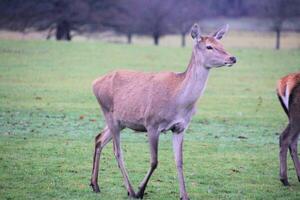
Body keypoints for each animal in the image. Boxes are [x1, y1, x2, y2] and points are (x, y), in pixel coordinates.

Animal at [89, 23, 237, 200]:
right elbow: (154, 161)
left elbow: (179, 161)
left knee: (99, 138)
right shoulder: (152, 124)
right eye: (209, 46)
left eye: (221, 43)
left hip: (120, 121)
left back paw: (95, 184)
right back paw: (130, 190)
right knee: (118, 152)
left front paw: (184, 195)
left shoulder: (180, 127)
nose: (232, 58)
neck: (179, 101)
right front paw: (141, 190)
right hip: (108, 113)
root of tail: (94, 83)